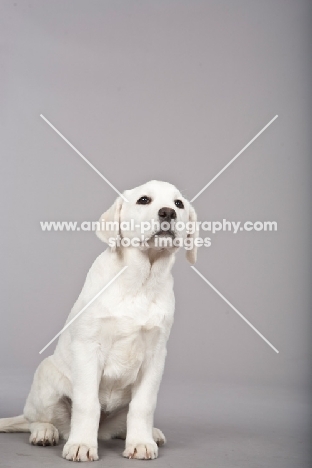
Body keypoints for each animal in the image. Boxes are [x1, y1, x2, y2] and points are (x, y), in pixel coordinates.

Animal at [0, 179, 197, 460]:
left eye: (178, 204)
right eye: (144, 200)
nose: (168, 213)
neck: (141, 280)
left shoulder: (156, 355)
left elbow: (143, 405)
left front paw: (141, 442)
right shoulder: (88, 348)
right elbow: (87, 403)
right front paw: (81, 444)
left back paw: (151, 433)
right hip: (46, 378)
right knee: (36, 420)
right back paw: (45, 432)